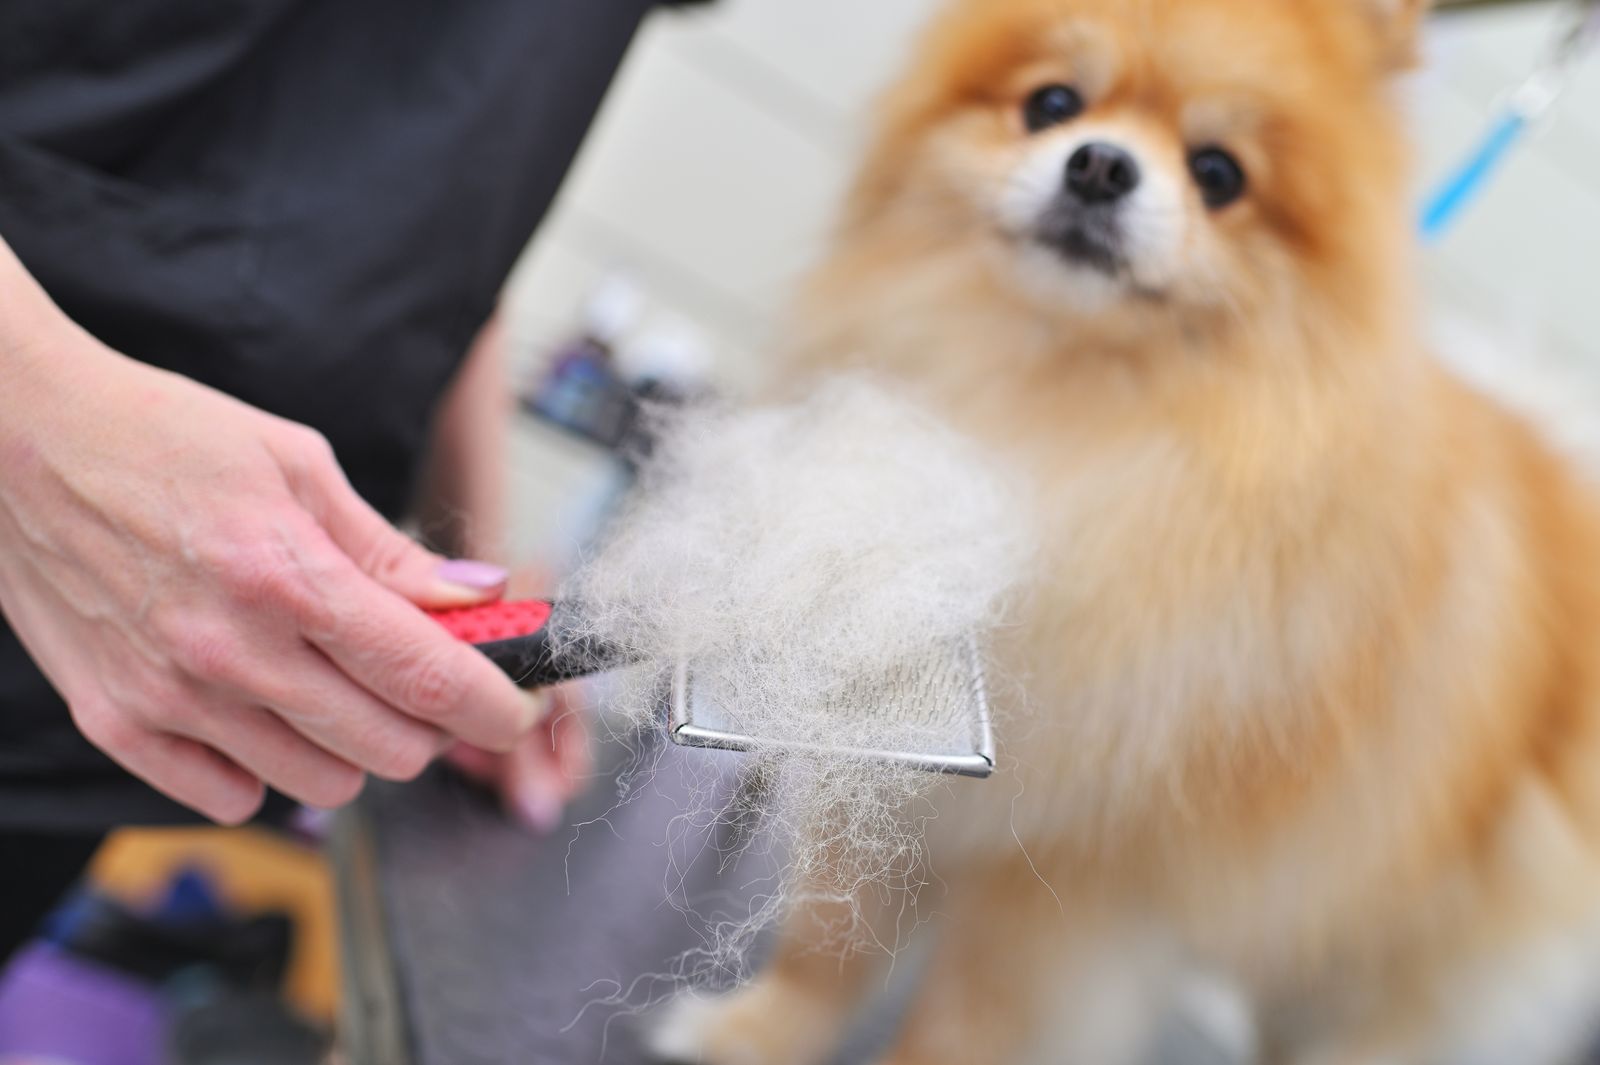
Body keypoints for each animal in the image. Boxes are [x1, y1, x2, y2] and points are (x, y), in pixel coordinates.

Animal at [646, 2, 1600, 1061]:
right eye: (1052, 103)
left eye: (1218, 172)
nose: (1100, 165)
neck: (1057, 411)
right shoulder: (899, 777)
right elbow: (829, 939)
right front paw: (753, 1035)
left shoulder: (1068, 881)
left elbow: (967, 1020)